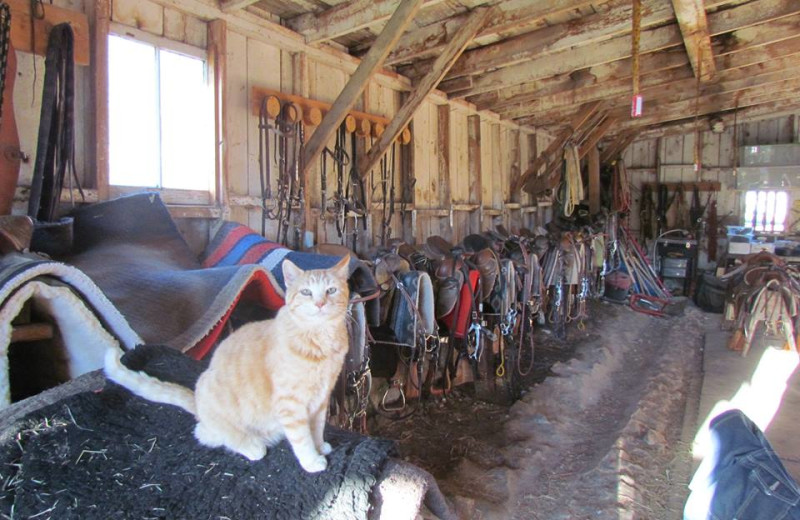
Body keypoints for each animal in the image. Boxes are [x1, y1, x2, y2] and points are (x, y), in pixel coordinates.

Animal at [103, 254, 350, 474]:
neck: (321, 339)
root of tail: (197, 403)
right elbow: (302, 437)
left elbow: (317, 429)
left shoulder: (320, 399)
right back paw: (252, 446)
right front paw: (312, 461)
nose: (320, 303)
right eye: (306, 292)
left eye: (331, 290)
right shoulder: (291, 404)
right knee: (207, 433)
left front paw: (320, 447)